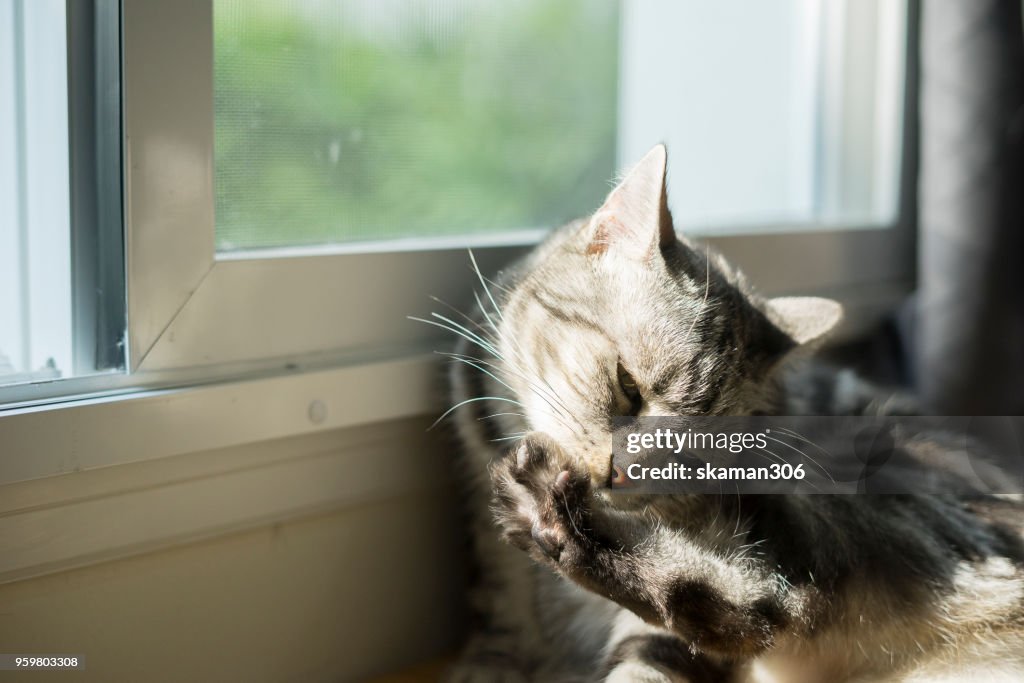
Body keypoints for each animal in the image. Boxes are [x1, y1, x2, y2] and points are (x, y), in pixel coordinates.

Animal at [438, 145, 1024, 683]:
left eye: (701, 452)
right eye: (628, 387)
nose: (622, 473)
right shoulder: (501, 614)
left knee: (746, 605)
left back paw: (550, 513)